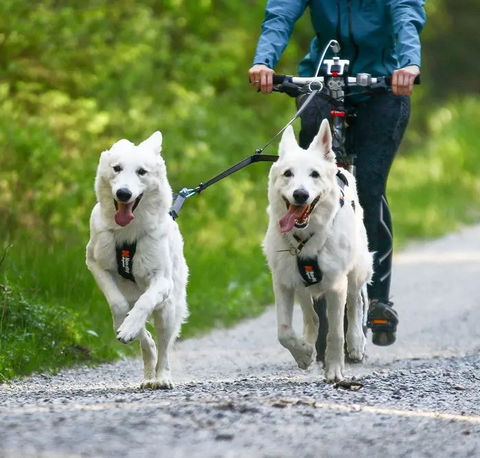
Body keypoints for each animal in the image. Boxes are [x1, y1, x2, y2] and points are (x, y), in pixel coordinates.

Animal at [86, 132, 188, 390]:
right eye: (117, 168)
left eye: (142, 172)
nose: (123, 193)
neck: (127, 233)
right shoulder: (95, 264)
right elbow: (117, 303)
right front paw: (124, 324)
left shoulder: (161, 281)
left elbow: (145, 302)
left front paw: (129, 326)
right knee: (148, 341)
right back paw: (147, 373)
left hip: (168, 311)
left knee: (163, 348)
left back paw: (161, 378)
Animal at [262, 119, 372, 382]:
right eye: (288, 173)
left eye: (314, 174)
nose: (300, 195)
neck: (305, 240)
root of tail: (340, 168)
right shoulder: (282, 282)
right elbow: (284, 331)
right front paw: (303, 353)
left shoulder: (336, 286)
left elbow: (335, 333)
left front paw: (334, 370)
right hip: (300, 284)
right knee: (310, 316)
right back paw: (308, 344)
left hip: (357, 269)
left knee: (356, 301)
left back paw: (356, 343)